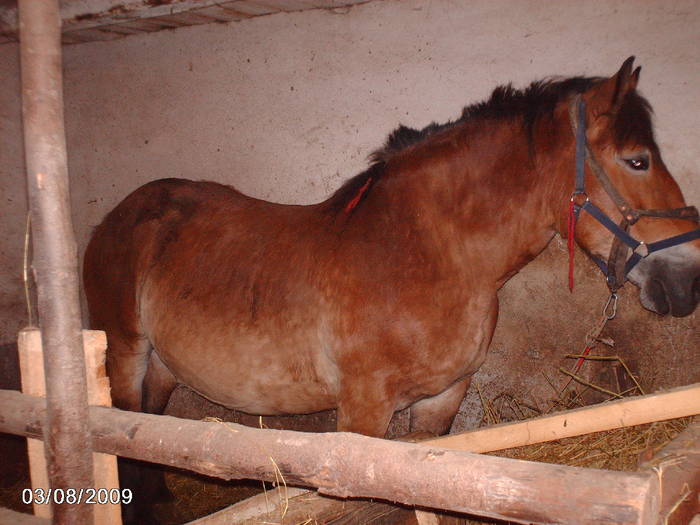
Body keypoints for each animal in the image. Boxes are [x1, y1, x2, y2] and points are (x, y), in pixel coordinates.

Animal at [85, 56, 696, 438]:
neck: (426, 253)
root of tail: (120, 215)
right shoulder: (363, 409)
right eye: (637, 160)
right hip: (125, 353)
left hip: (164, 367)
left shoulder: (440, 402)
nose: (688, 281)